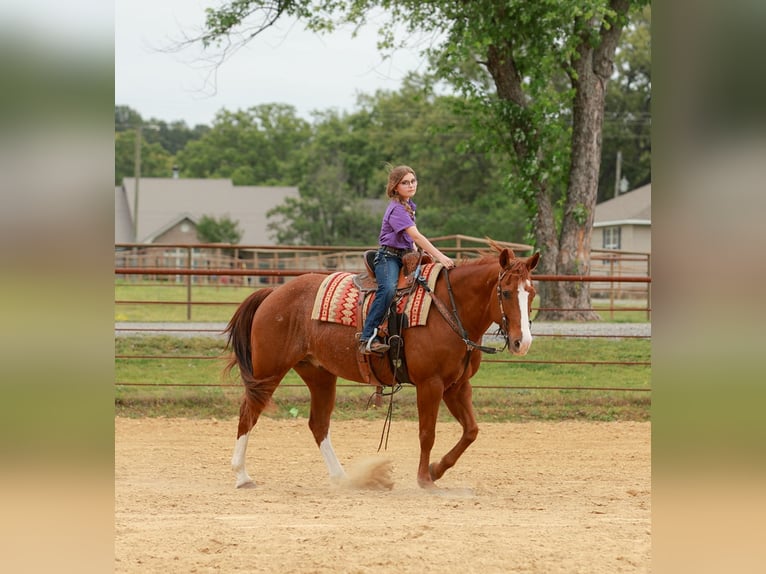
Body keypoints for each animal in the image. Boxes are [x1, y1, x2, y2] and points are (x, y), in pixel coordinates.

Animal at [224, 243, 540, 489]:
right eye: (506, 292)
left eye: (532, 293)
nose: (522, 342)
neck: (449, 307)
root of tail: (273, 293)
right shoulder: (430, 384)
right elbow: (427, 433)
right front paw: (424, 479)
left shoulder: (457, 385)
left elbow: (471, 431)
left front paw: (436, 470)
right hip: (268, 372)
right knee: (248, 413)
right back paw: (242, 476)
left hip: (319, 374)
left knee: (318, 424)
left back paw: (343, 478)